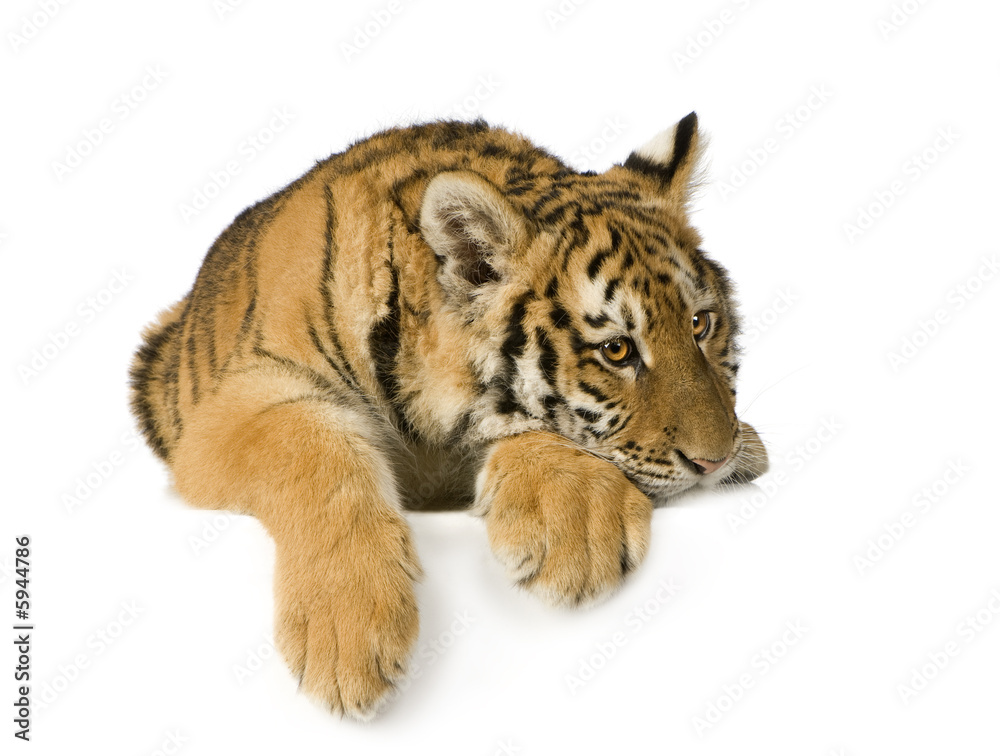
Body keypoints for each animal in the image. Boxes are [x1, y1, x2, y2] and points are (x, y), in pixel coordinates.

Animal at [130, 113, 767, 719]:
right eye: (616, 350)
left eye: (700, 325)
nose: (715, 461)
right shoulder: (237, 404)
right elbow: (310, 447)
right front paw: (348, 632)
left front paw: (576, 522)